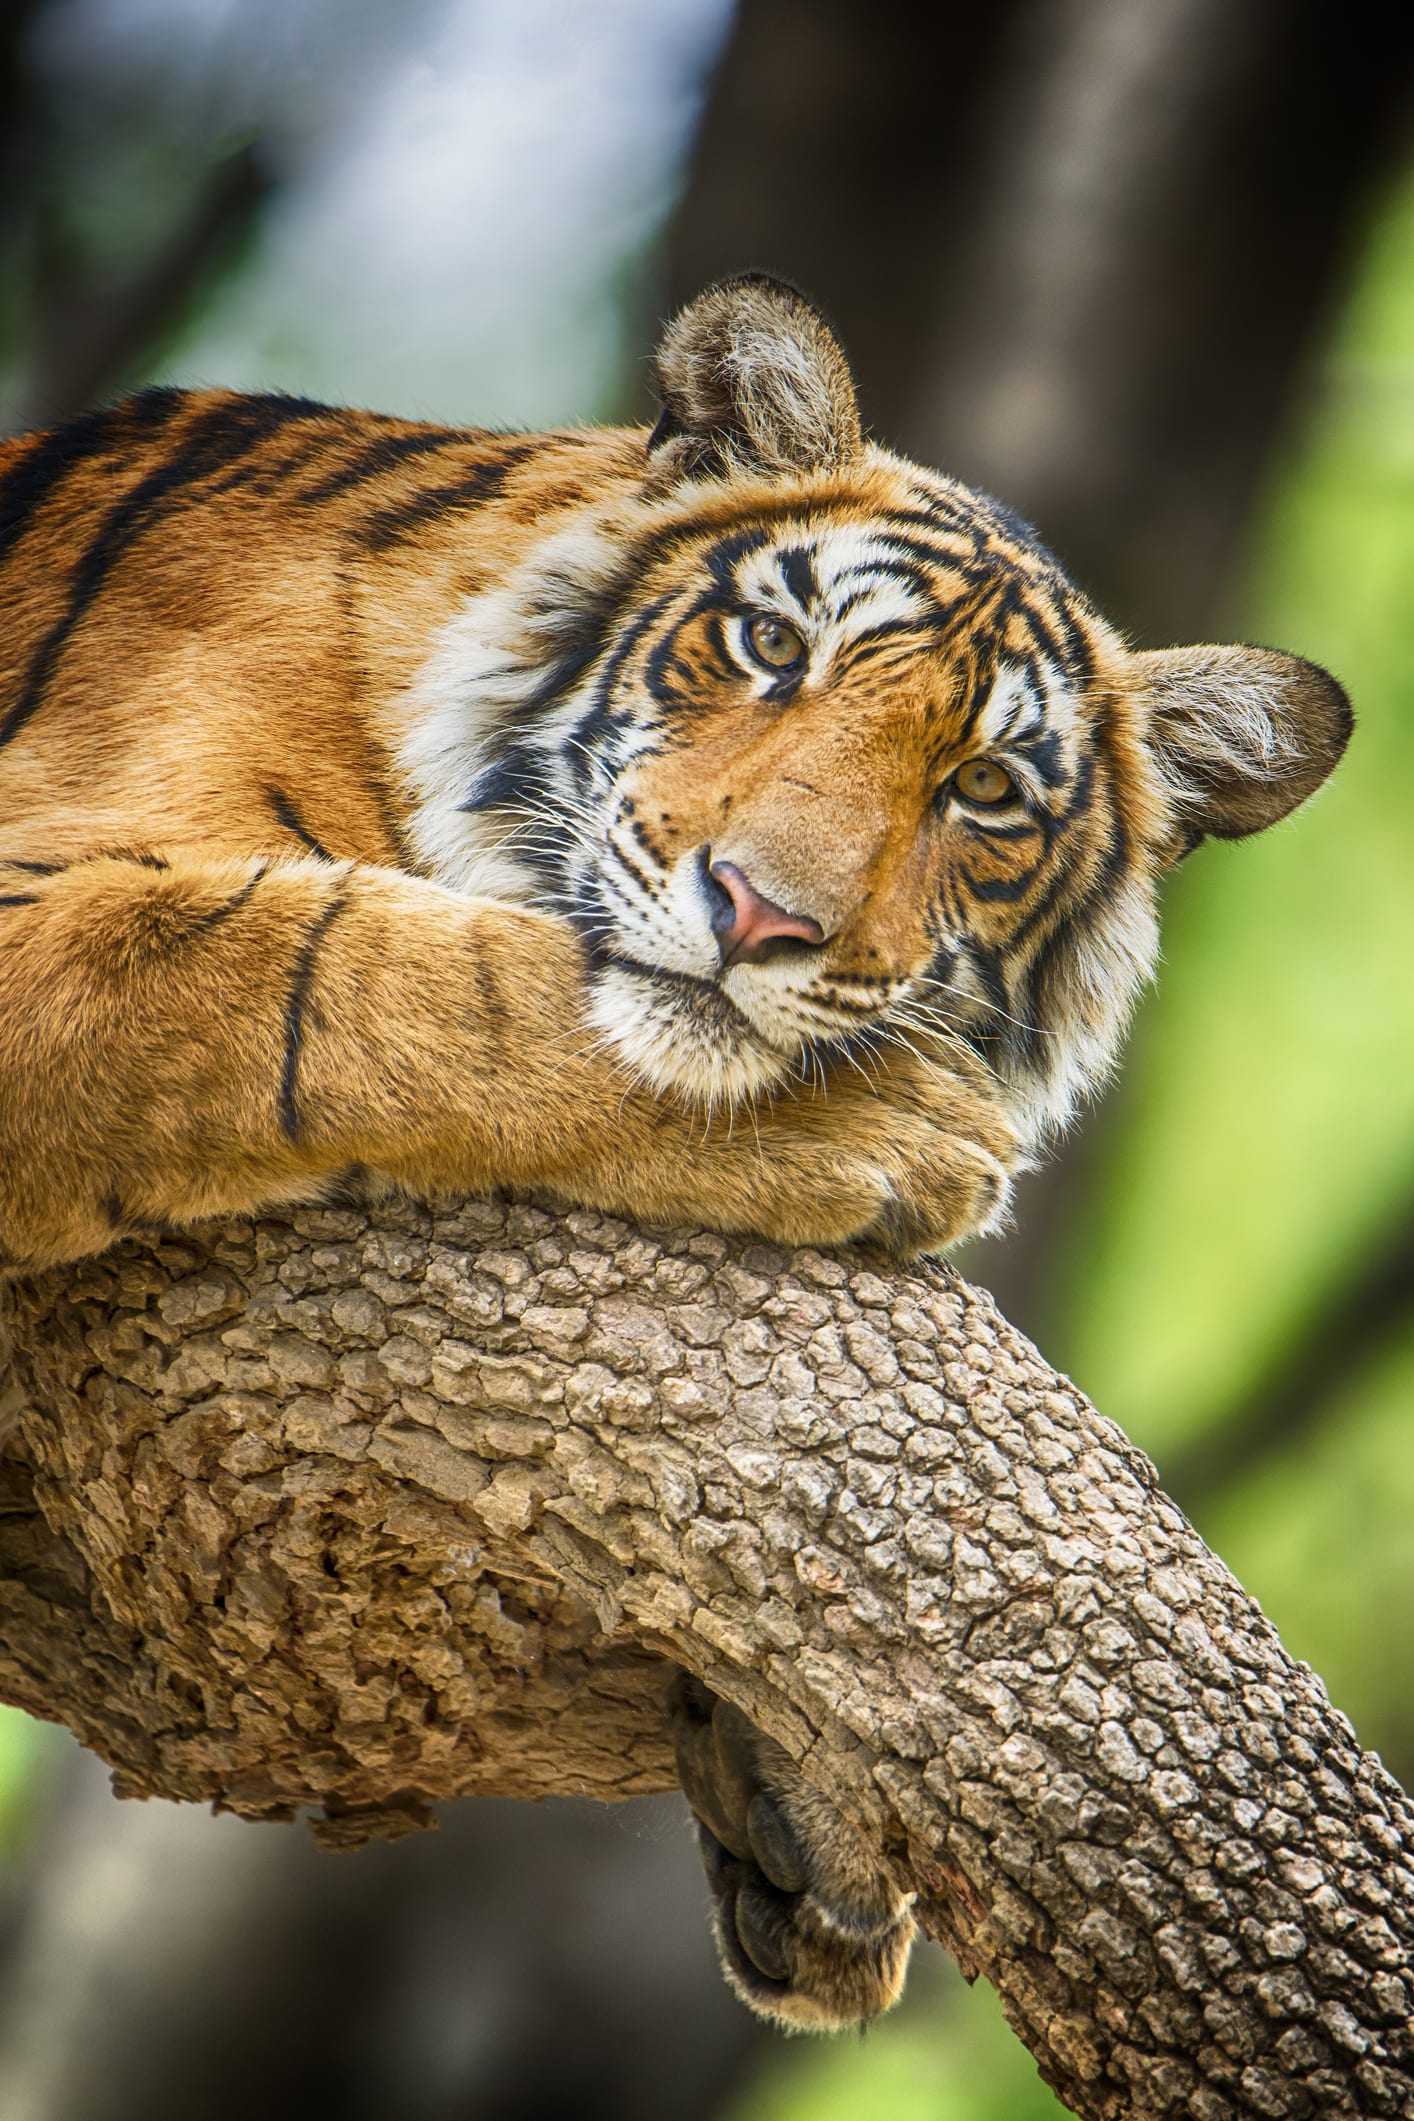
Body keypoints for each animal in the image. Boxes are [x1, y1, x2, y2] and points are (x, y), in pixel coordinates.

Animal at [0, 276, 1350, 2028]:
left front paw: (808, 1826)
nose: (763, 915)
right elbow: (331, 961)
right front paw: (895, 1126)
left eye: (984, 789)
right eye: (774, 647)